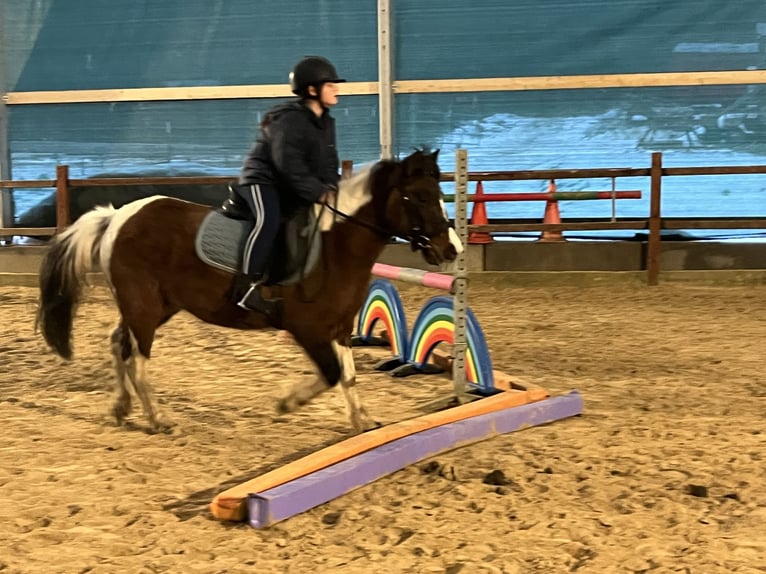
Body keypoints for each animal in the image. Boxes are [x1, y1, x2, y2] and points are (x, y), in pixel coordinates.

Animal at [35, 148, 462, 434]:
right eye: (420, 196)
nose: (452, 249)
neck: (334, 244)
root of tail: (117, 217)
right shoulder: (308, 328)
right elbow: (330, 373)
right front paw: (288, 402)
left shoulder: (340, 328)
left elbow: (348, 375)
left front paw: (362, 420)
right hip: (143, 306)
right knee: (137, 359)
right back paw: (157, 418)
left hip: (155, 306)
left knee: (118, 344)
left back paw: (121, 408)